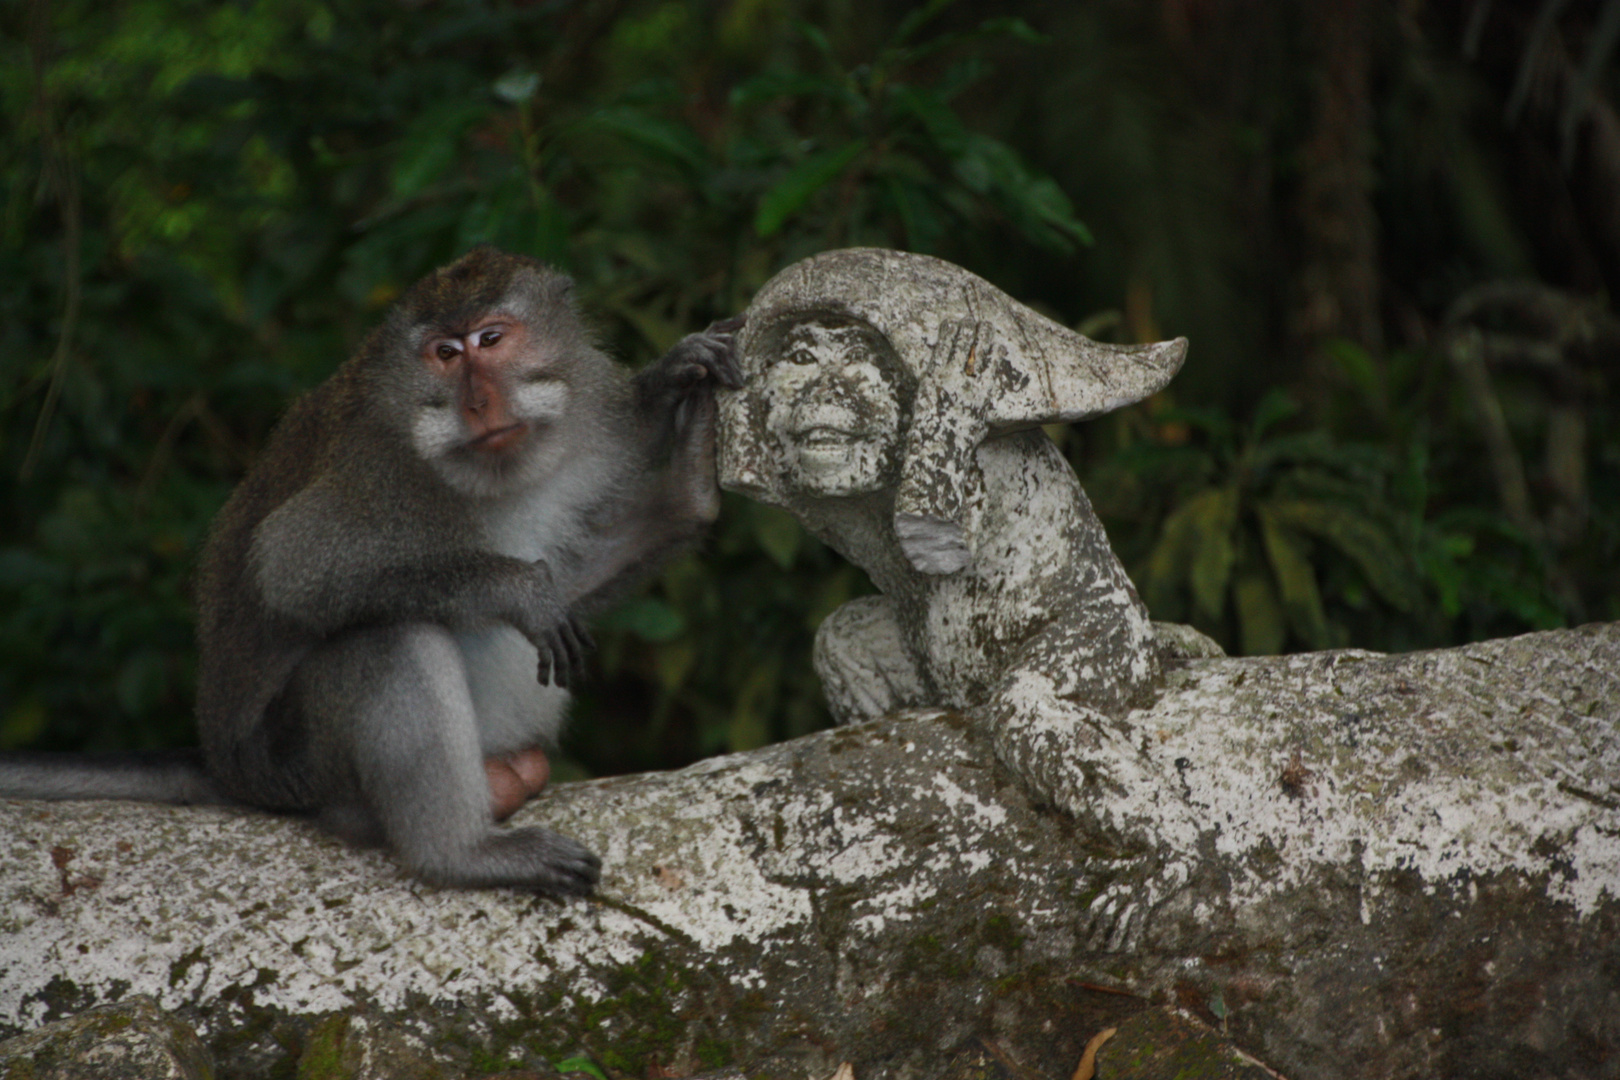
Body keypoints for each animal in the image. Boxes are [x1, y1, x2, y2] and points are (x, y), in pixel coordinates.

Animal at [0, 247, 741, 893]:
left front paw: (677, 430)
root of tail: (227, 767)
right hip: (300, 766)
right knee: (388, 637)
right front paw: (516, 590)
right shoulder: (383, 472)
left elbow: (572, 570)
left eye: (491, 338)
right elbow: (294, 565)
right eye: (445, 355)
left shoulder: (588, 431)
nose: (479, 402)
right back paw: (460, 853)